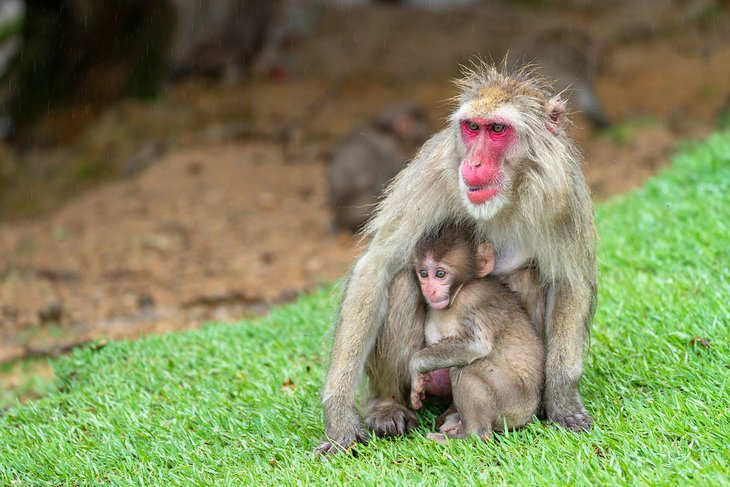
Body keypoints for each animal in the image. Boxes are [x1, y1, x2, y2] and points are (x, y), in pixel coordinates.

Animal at [410, 223, 540, 444]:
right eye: (424, 274)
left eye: (440, 274)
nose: (429, 290)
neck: (458, 292)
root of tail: (529, 414)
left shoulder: (473, 298)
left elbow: (475, 345)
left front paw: (415, 369)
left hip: (513, 403)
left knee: (468, 369)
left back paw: (470, 435)